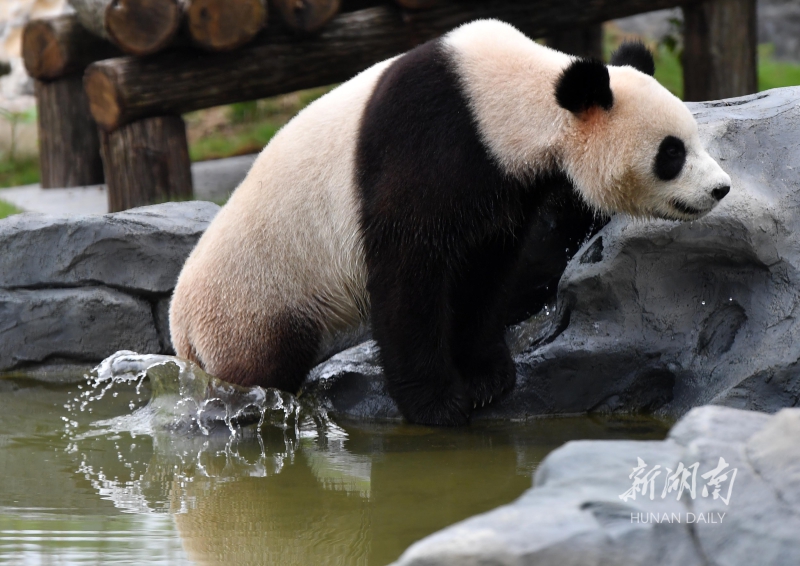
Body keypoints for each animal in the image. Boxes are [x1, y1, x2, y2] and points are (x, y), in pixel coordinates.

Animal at [169, 18, 732, 426]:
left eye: (692, 140)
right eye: (672, 153)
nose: (720, 188)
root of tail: (182, 331)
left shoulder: (505, 188)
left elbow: (484, 274)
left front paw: (487, 378)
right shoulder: (427, 144)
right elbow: (408, 278)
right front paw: (438, 405)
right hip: (256, 305)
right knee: (265, 368)